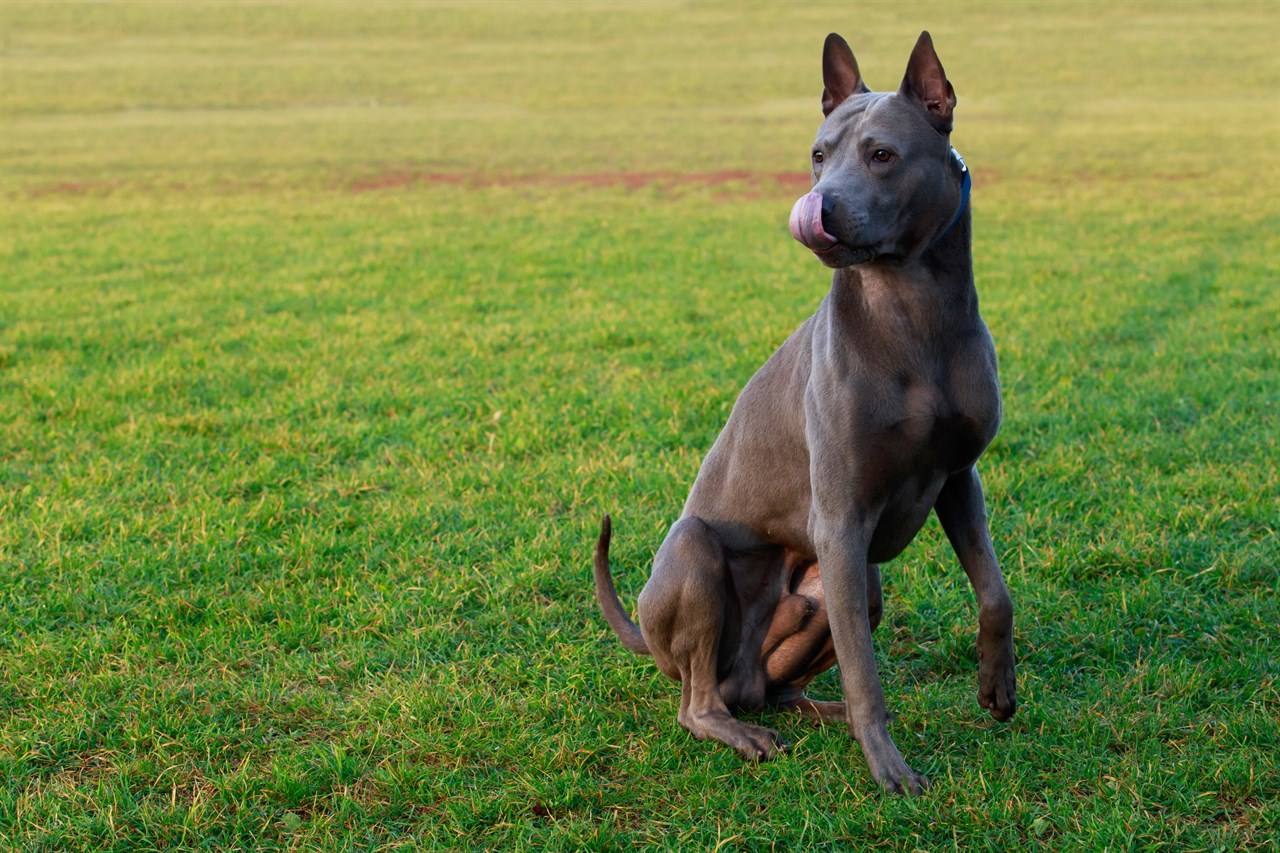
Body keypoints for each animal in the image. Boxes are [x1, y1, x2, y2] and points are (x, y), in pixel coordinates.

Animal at [593, 29, 1013, 794]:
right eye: (819, 154)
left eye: (882, 155)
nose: (820, 203)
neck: (914, 313)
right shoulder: (841, 520)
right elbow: (867, 676)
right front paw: (890, 770)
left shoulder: (959, 477)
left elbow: (995, 590)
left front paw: (998, 688)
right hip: (700, 557)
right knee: (700, 702)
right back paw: (746, 732)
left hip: (849, 588)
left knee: (774, 686)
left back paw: (814, 711)